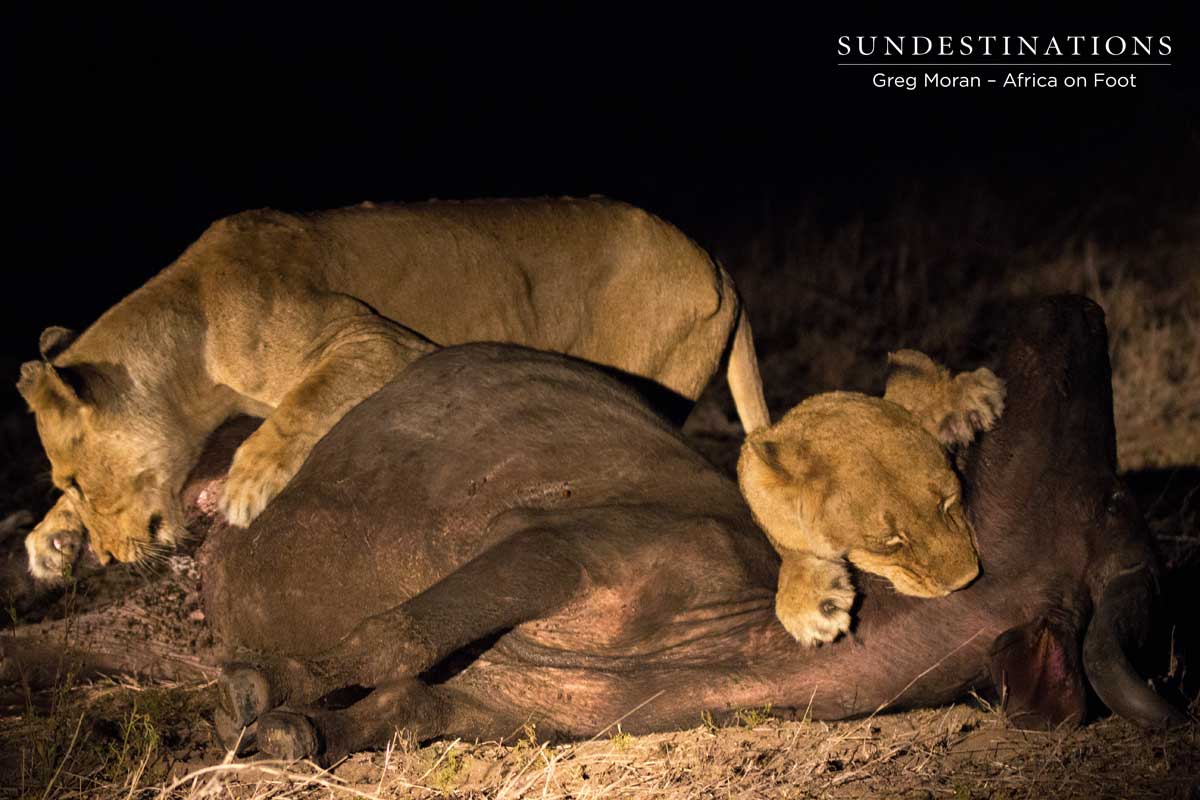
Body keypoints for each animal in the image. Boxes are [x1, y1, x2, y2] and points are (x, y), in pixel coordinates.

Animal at [19, 197, 769, 581]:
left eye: (77, 478)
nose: (107, 557)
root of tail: (717, 262)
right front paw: (48, 541)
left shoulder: (379, 341)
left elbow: (301, 406)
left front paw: (249, 483)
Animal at [737, 349, 1005, 646]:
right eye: (889, 541)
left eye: (947, 502)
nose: (966, 581)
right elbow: (789, 545)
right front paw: (808, 599)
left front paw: (965, 396)